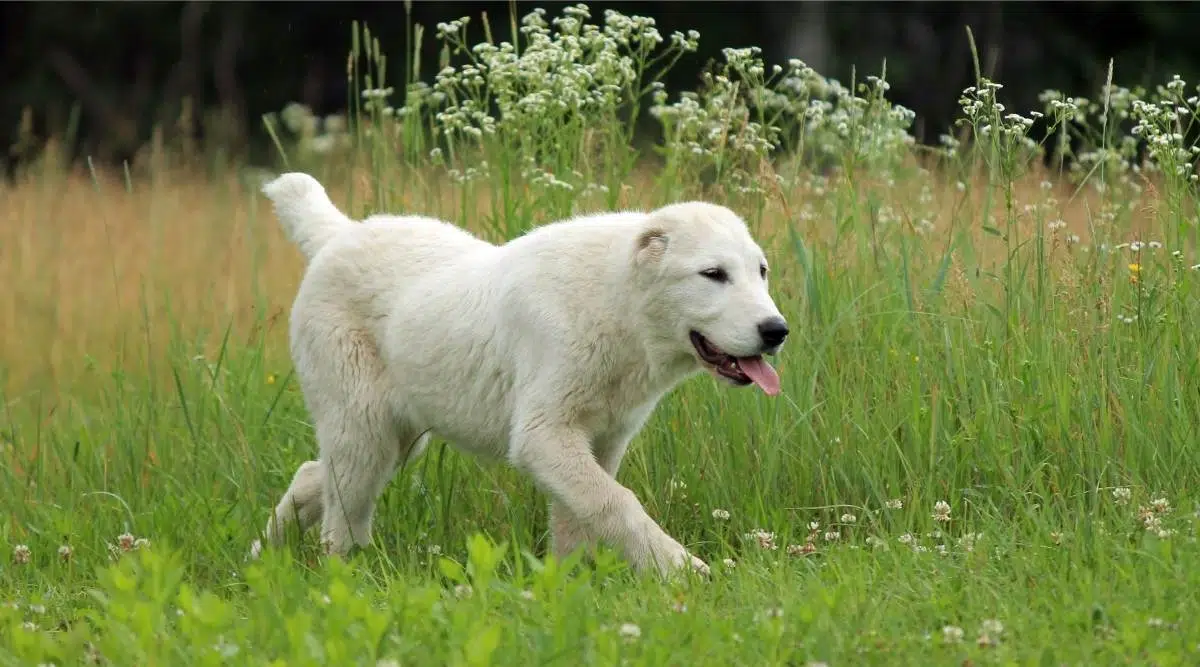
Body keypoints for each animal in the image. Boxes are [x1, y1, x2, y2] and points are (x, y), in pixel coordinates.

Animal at [255, 172, 787, 578]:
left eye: (761, 271)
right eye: (713, 274)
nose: (776, 330)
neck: (617, 304)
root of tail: (338, 234)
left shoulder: (598, 440)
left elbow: (582, 513)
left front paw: (571, 587)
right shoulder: (544, 435)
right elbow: (615, 503)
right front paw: (683, 570)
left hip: (399, 437)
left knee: (313, 476)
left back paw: (262, 558)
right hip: (365, 427)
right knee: (340, 517)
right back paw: (342, 580)